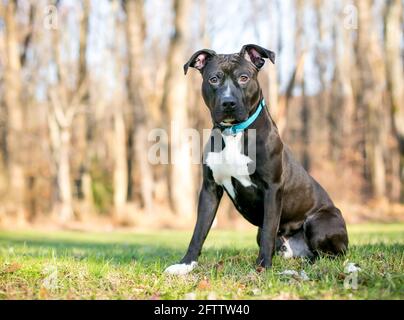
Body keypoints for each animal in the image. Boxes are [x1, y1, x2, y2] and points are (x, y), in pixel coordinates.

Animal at [164, 44, 348, 276]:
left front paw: (262, 268)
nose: (228, 103)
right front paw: (186, 264)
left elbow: (269, 230)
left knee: (330, 255)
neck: (233, 132)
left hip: (319, 221)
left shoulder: (272, 189)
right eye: (213, 79)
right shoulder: (209, 189)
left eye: (244, 77)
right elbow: (198, 231)